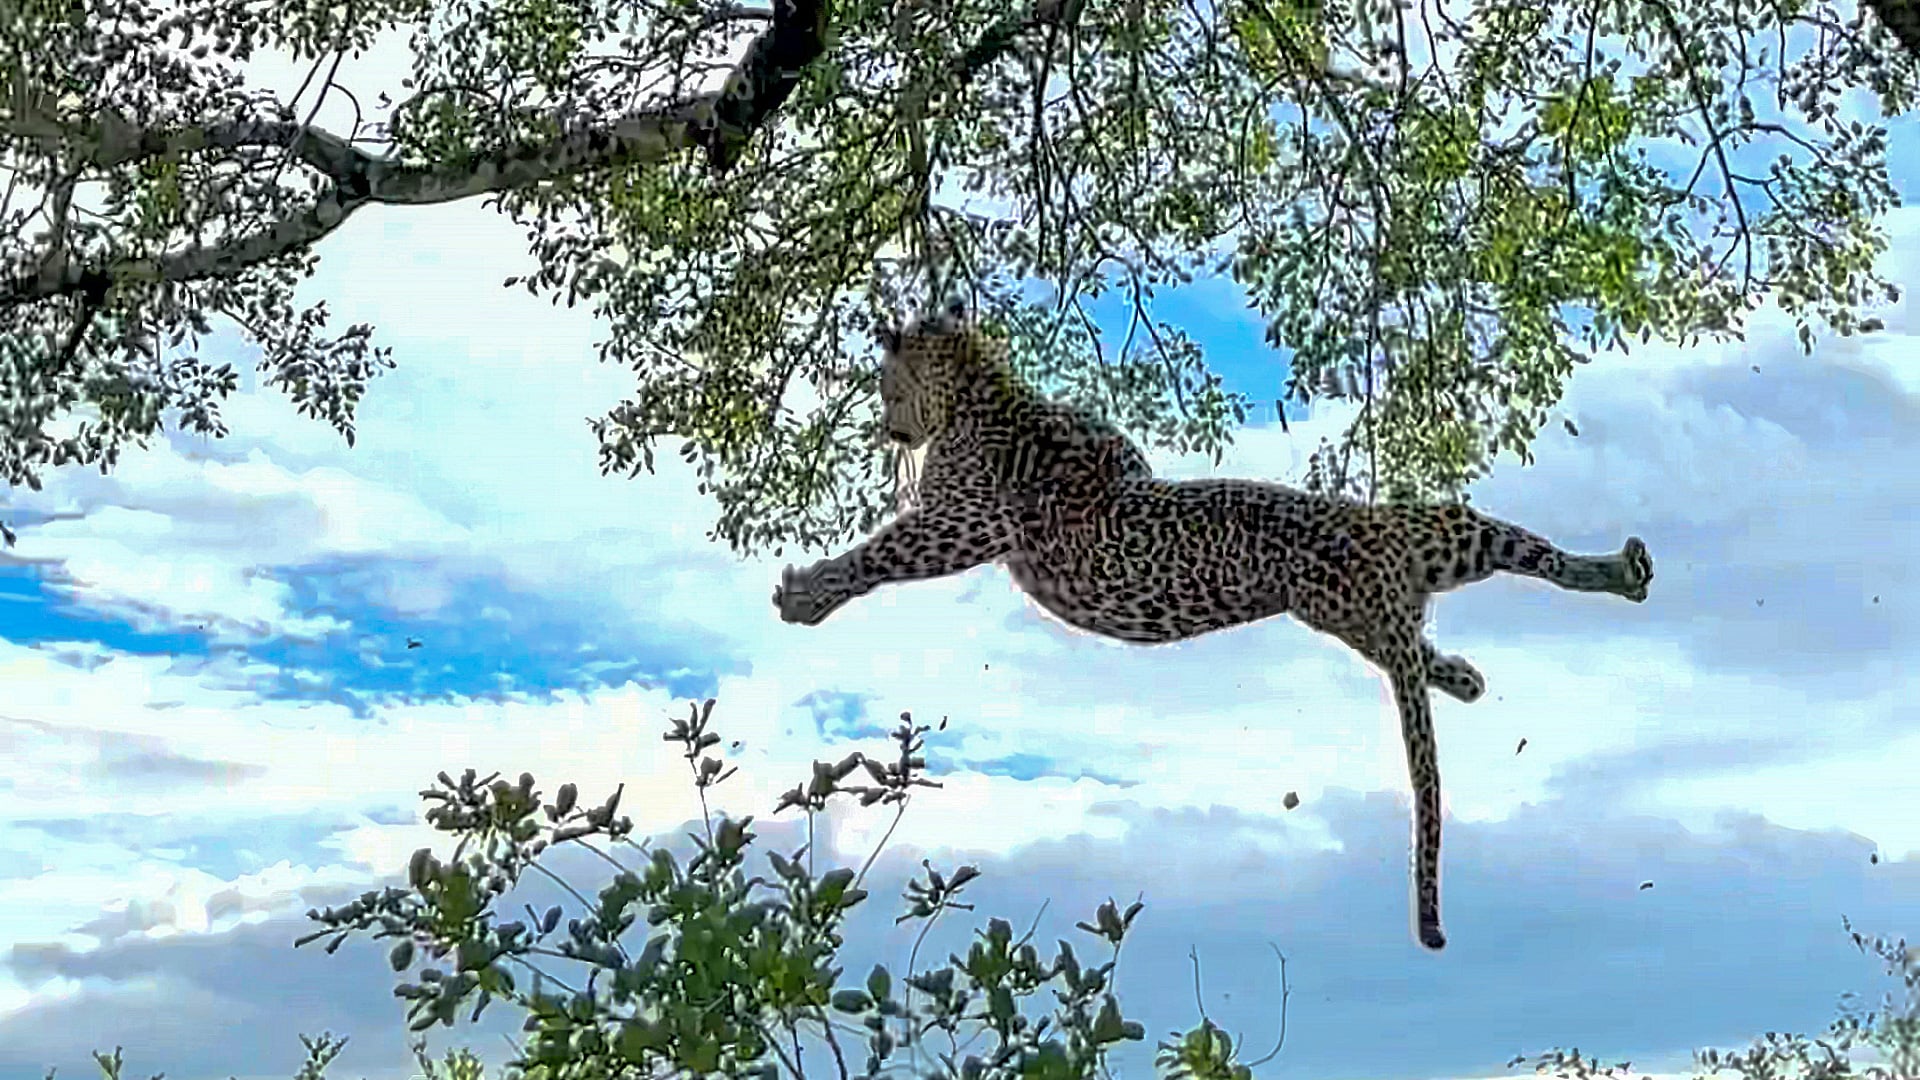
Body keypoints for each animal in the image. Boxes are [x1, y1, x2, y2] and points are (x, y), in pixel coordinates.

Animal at [772, 303, 1654, 951]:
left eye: (884, 387)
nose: (889, 431)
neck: (979, 388)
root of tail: (1382, 572)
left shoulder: (963, 521)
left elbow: (880, 555)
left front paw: (808, 591)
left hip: (1378, 582)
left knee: (1497, 580)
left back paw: (1611, 573)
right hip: (1407, 563)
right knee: (1513, 563)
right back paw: (1571, 604)